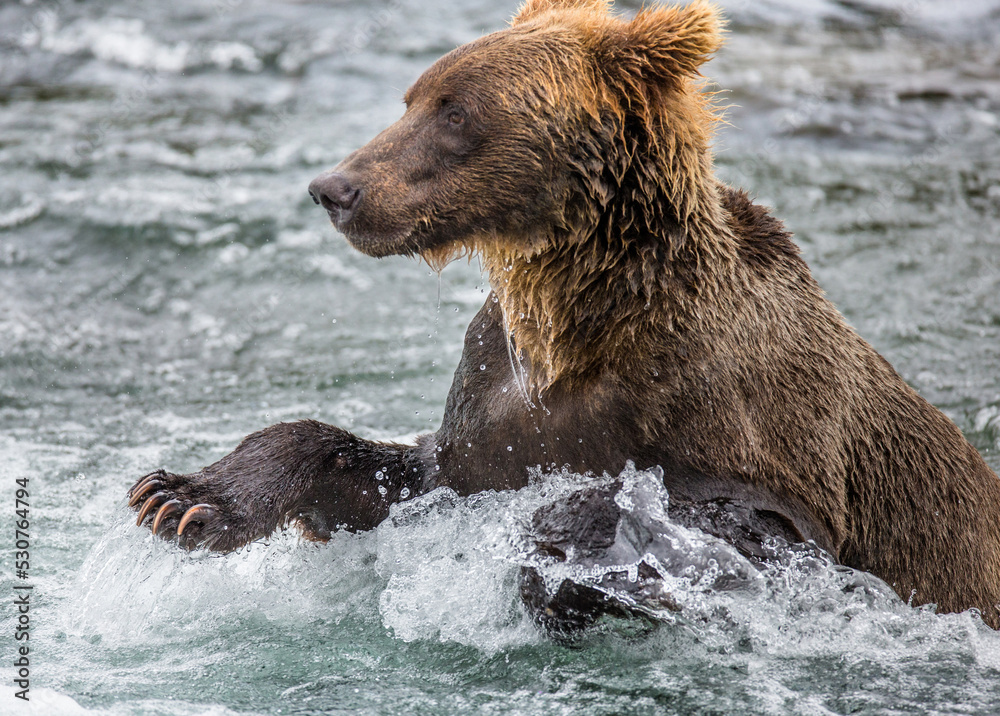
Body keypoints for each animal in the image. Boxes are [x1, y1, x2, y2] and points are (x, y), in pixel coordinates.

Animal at [128, 0, 1000, 628]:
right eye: (414, 95)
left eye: (455, 110)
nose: (335, 187)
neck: (581, 318)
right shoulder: (492, 410)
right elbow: (392, 471)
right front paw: (179, 498)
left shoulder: (748, 428)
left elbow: (739, 525)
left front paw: (563, 553)